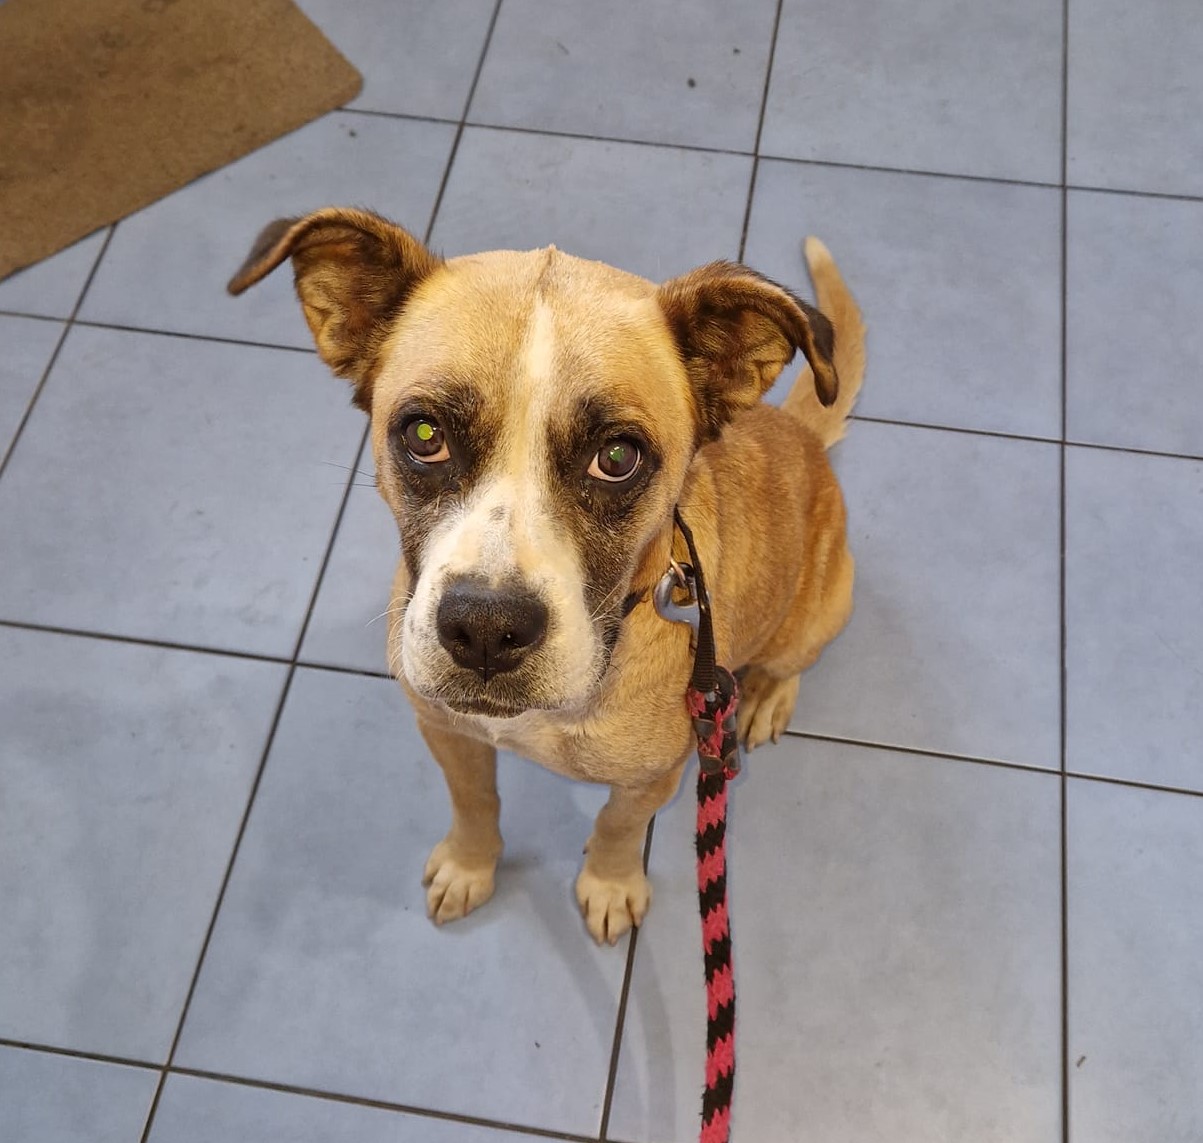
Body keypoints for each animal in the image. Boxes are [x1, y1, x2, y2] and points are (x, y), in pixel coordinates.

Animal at [229, 212, 865, 944]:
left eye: (616, 456)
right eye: (424, 434)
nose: (484, 629)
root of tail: (801, 432)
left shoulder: (655, 775)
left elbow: (616, 825)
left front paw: (610, 884)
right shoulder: (447, 731)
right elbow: (474, 800)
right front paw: (469, 864)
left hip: (822, 608)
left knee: (793, 661)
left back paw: (764, 695)